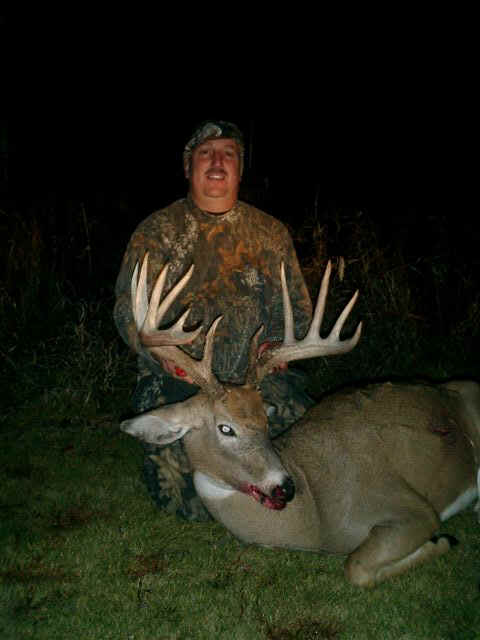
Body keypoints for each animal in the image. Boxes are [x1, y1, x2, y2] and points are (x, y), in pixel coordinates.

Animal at [121, 253, 480, 587]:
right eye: (225, 428)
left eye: (266, 421)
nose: (285, 487)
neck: (317, 519)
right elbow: (358, 567)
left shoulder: (412, 507)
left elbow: (356, 567)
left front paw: (442, 541)